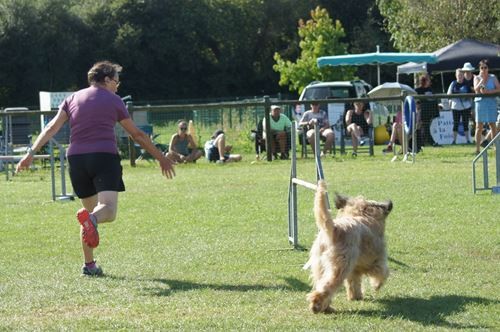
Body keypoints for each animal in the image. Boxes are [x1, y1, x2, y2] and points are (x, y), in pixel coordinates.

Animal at [306, 180, 392, 312]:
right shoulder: (377, 260)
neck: (362, 214)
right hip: (340, 266)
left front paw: (355, 296)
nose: (389, 204)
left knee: (321, 284)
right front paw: (376, 285)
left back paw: (327, 307)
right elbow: (383, 272)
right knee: (326, 287)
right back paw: (316, 305)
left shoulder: (354, 269)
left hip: (320, 266)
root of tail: (334, 229)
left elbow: (354, 282)